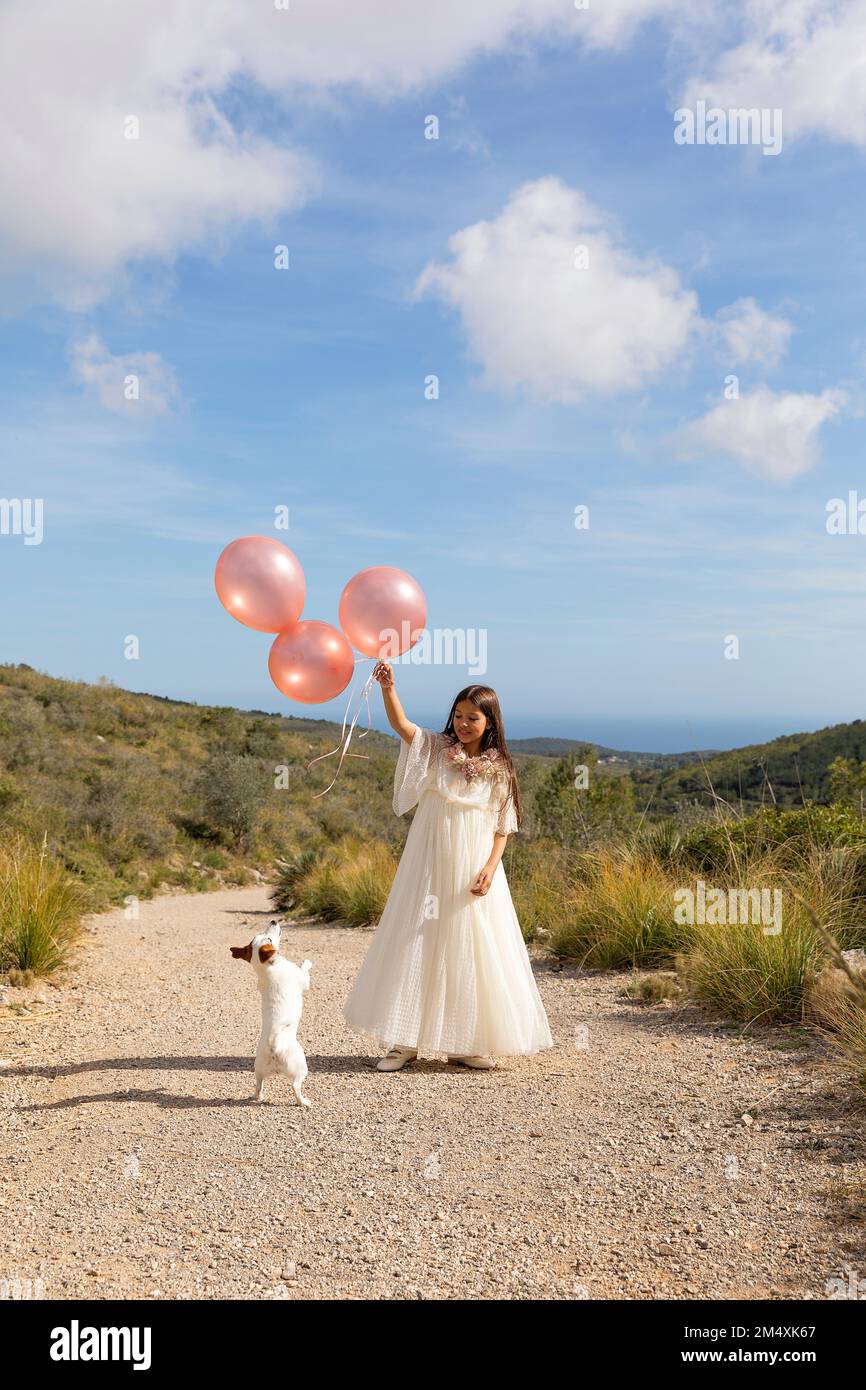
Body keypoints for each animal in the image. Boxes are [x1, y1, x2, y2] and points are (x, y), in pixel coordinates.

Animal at [229, 922, 312, 1106]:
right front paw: (307, 961)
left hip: (258, 1070)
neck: (267, 967)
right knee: (295, 1086)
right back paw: (304, 1102)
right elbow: (304, 970)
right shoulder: (303, 980)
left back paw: (258, 1096)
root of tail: (274, 1045)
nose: (273, 921)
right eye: (268, 939)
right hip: (301, 1067)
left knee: (258, 1085)